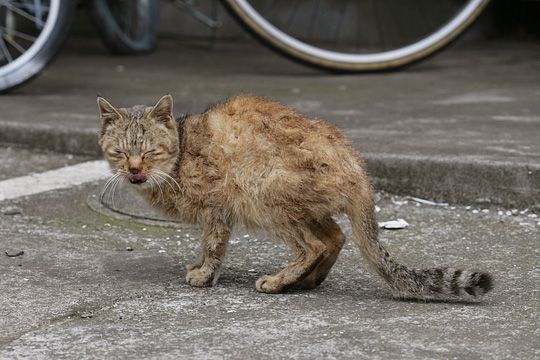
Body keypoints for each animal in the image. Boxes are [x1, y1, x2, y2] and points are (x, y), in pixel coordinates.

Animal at [97, 94, 494, 300]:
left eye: (149, 151)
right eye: (120, 152)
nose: (134, 170)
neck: (180, 153)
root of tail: (358, 167)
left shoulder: (217, 207)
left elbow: (212, 245)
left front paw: (205, 273)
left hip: (263, 192)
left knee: (313, 245)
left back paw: (279, 281)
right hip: (306, 207)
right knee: (336, 237)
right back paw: (306, 280)